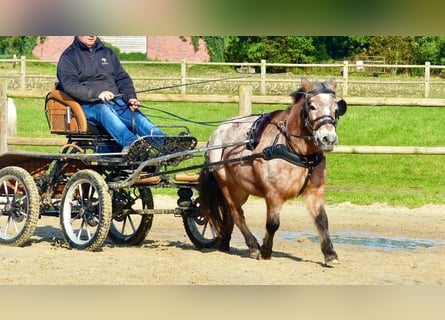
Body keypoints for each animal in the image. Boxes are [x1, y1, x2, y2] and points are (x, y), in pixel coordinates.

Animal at [198, 78, 346, 264]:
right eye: (312, 106)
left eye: (336, 109)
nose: (328, 139)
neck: (297, 151)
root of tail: (217, 133)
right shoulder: (273, 194)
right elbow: (273, 224)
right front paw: (266, 250)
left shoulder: (315, 192)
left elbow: (322, 220)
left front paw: (330, 253)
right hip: (226, 185)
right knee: (237, 213)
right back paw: (253, 246)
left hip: (241, 189)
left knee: (230, 214)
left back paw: (225, 242)